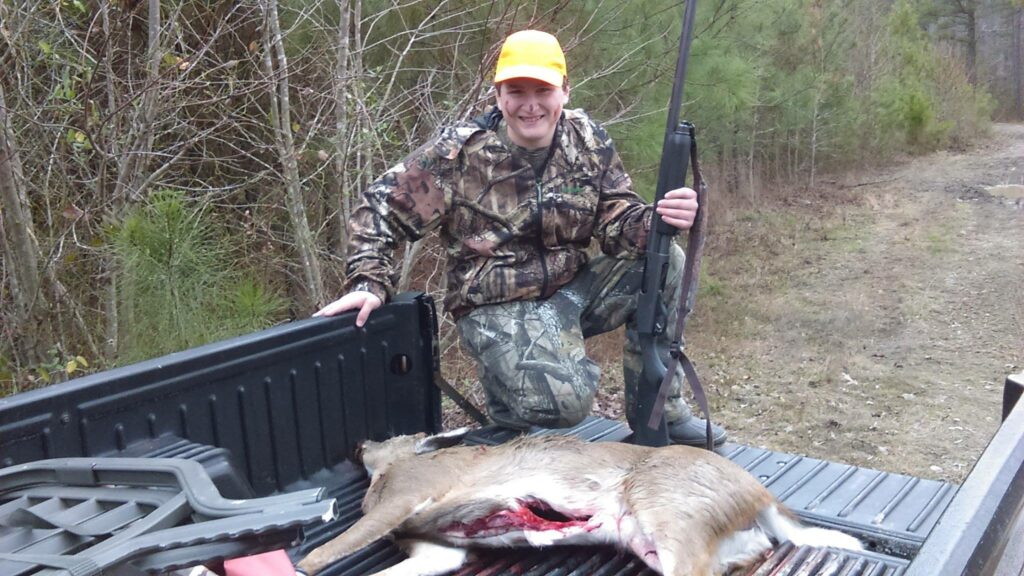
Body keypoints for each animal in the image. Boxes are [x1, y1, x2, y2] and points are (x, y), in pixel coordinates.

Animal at [299, 430, 864, 573]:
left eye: (390, 437)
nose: (357, 444)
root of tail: (761, 491)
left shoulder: (409, 493)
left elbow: (325, 554)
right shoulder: (442, 549)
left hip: (669, 512)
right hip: (655, 538)